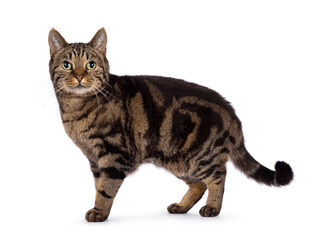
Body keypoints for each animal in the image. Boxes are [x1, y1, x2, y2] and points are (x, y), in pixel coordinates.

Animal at [48, 27, 296, 221]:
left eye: (90, 65)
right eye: (67, 65)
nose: (80, 76)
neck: (76, 108)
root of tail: (231, 112)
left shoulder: (114, 155)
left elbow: (106, 189)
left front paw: (100, 212)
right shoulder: (94, 159)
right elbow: (99, 185)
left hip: (201, 156)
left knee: (218, 177)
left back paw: (212, 207)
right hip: (178, 160)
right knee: (199, 185)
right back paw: (181, 206)